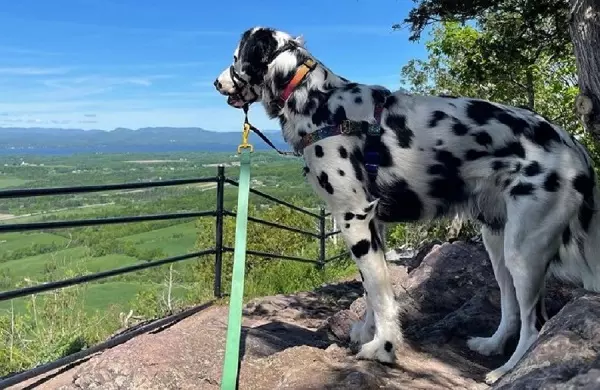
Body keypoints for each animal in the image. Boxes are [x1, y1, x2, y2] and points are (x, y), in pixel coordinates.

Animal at [214, 27, 600, 384]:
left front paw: (382, 348)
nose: (216, 82)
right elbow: (371, 289)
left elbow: (379, 295)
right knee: (511, 308)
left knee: (536, 324)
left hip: (524, 251)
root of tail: (573, 146)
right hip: (498, 243)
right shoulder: (373, 225)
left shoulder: (354, 216)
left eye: (235, 57)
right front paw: (366, 333)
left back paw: (507, 371)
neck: (320, 101)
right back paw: (492, 346)